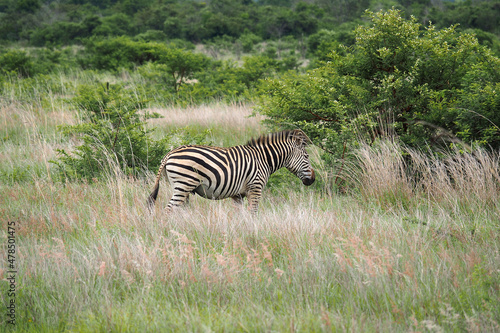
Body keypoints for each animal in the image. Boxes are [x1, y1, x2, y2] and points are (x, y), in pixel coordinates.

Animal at [146, 129, 314, 213]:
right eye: (307, 156)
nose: (313, 179)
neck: (263, 159)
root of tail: (170, 153)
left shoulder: (238, 195)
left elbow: (239, 215)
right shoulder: (255, 188)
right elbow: (253, 212)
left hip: (183, 187)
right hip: (183, 184)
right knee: (169, 210)